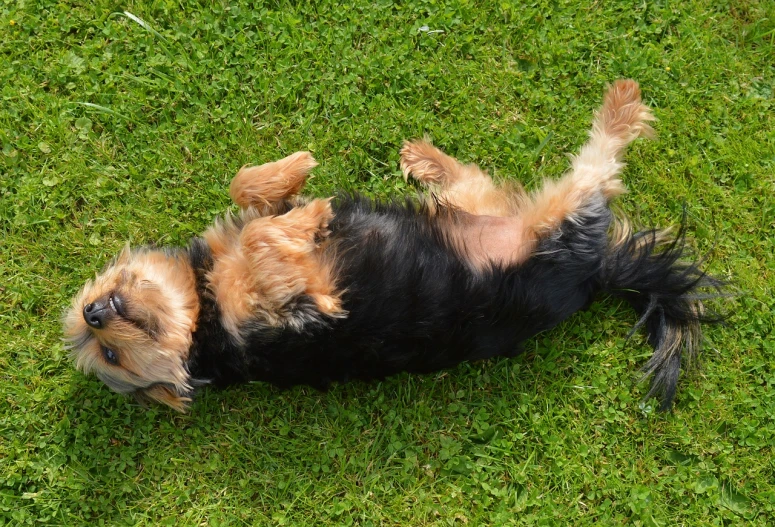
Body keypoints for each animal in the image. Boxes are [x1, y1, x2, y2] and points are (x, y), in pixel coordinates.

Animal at [63, 81, 724, 412]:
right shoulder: (295, 305)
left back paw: (425, 157)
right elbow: (266, 239)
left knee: (477, 179)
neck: (202, 315)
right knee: (599, 168)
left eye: (97, 332)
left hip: (483, 205)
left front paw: (293, 177)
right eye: (110, 358)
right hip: (555, 224)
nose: (94, 312)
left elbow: (247, 196)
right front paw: (313, 215)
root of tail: (597, 274)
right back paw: (621, 106)